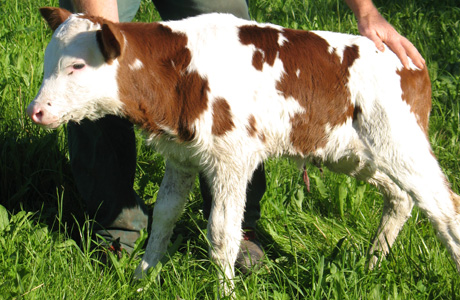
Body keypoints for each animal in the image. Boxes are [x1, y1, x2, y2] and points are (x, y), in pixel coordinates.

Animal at [28, 6, 460, 292]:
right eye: (48, 62)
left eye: (77, 67)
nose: (37, 111)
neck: (179, 73)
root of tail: (413, 62)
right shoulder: (181, 156)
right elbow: (164, 218)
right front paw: (142, 278)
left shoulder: (231, 158)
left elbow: (222, 233)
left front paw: (225, 290)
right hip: (352, 151)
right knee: (401, 198)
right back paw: (371, 265)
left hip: (400, 139)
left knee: (445, 207)